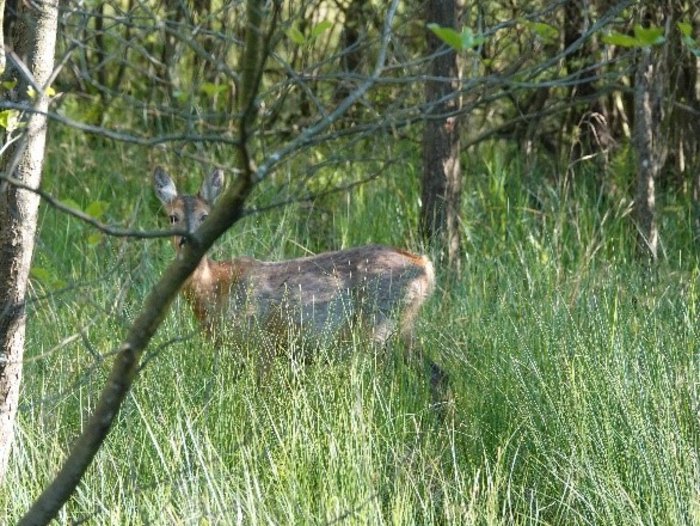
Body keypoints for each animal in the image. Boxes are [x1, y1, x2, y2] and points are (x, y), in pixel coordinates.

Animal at [154, 167, 448, 394]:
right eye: (172, 217)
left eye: (206, 217)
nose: (187, 242)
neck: (216, 289)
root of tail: (424, 266)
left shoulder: (263, 342)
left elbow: (262, 393)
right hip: (402, 325)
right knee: (438, 374)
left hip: (381, 323)